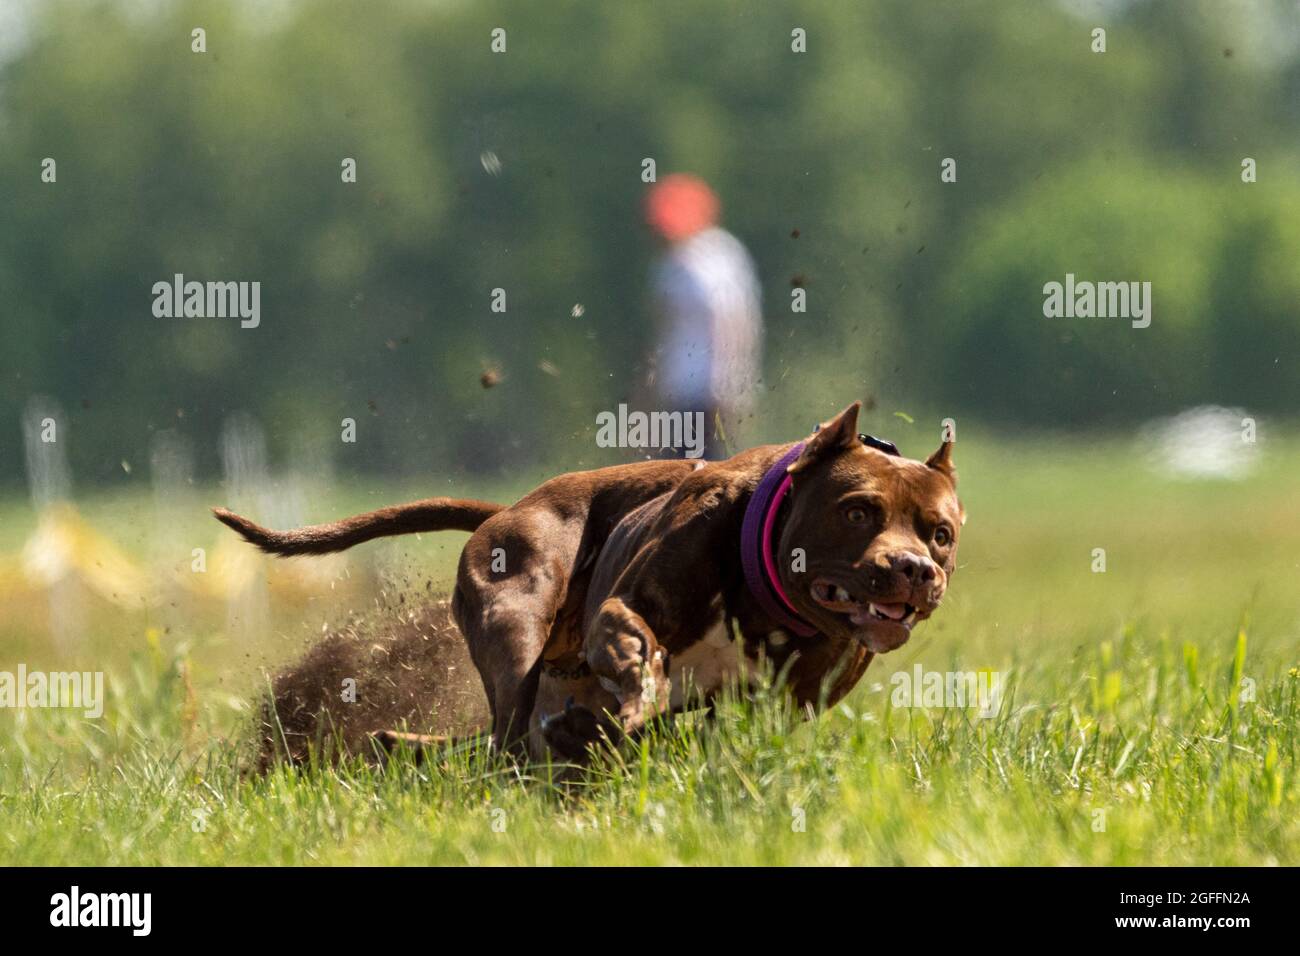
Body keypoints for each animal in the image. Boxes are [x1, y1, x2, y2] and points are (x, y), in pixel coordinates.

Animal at [215, 403, 967, 764]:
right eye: (858, 510)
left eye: (940, 533)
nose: (913, 569)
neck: (769, 603)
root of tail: (508, 507)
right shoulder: (625, 610)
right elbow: (639, 655)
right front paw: (637, 695)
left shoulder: (776, 707)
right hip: (516, 616)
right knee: (508, 735)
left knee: (508, 740)